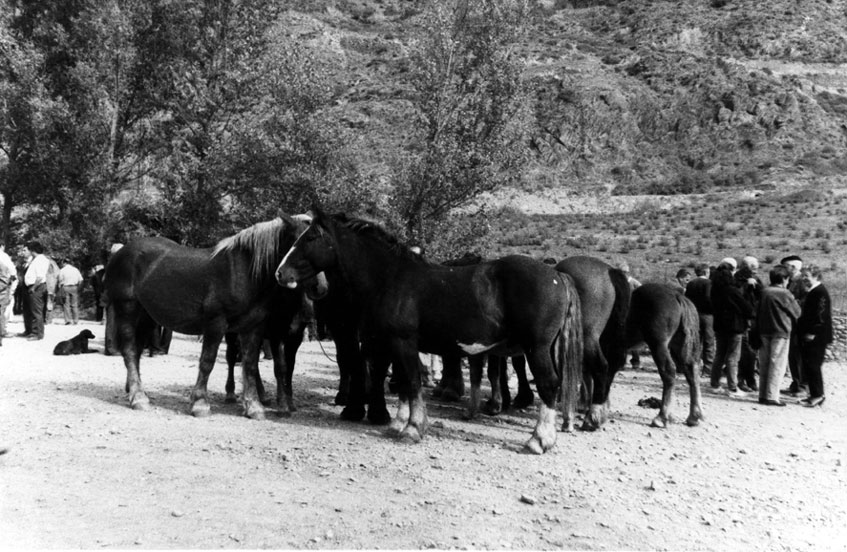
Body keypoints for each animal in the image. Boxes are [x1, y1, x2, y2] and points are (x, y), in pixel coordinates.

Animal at [103, 215, 328, 418]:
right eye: (299, 243)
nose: (320, 288)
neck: (243, 273)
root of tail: (120, 252)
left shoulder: (253, 328)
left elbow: (250, 365)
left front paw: (253, 406)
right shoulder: (216, 324)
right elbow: (207, 361)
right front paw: (200, 404)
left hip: (147, 316)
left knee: (137, 350)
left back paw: (132, 390)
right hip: (127, 308)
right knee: (130, 350)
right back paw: (138, 398)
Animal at [278, 209, 584, 454]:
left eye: (310, 238)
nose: (281, 273)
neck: (391, 278)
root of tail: (557, 276)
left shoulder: (403, 342)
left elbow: (413, 383)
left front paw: (413, 428)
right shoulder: (395, 344)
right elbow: (403, 383)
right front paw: (398, 424)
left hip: (537, 349)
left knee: (549, 385)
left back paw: (538, 441)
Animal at [624, 282, 704, 430]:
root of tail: (676, 295)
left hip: (658, 346)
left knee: (669, 373)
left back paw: (662, 417)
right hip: (677, 346)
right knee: (691, 373)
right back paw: (693, 416)